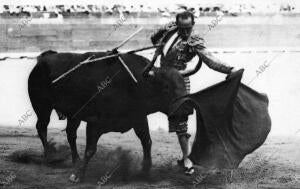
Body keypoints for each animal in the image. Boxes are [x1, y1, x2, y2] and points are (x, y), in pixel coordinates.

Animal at [28, 50, 272, 182]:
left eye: (183, 85)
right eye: (165, 87)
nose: (187, 109)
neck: (133, 84)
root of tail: (44, 58)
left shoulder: (138, 118)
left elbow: (147, 141)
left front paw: (146, 170)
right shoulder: (95, 124)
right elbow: (90, 149)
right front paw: (78, 176)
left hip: (73, 114)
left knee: (70, 133)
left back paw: (73, 160)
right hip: (42, 106)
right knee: (42, 127)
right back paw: (50, 156)